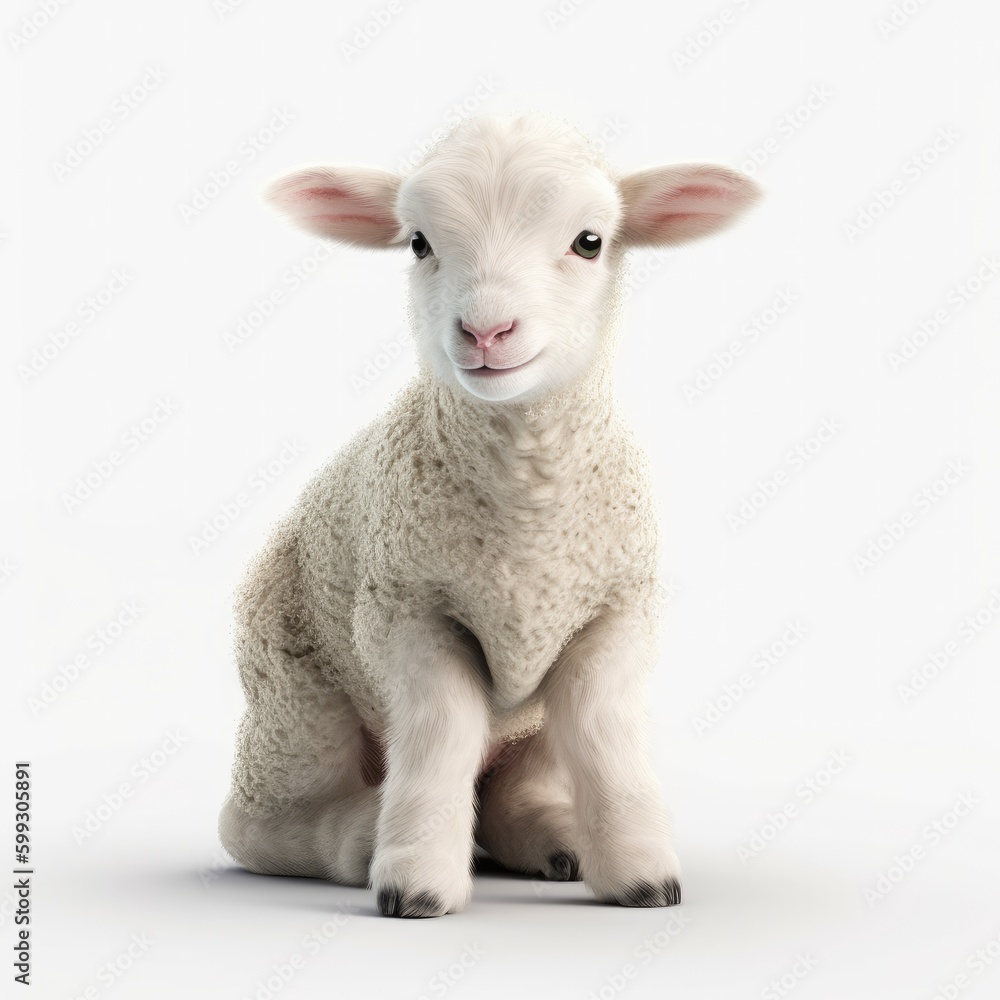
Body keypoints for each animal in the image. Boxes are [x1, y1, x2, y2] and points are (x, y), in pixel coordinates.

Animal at [219, 112, 760, 917]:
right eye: (418, 243)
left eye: (589, 241)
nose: (485, 331)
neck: (527, 512)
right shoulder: (404, 612)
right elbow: (443, 731)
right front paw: (415, 878)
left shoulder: (615, 613)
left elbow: (601, 729)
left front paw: (640, 872)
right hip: (294, 697)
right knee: (252, 822)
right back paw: (358, 836)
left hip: (526, 732)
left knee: (516, 783)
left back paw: (555, 838)